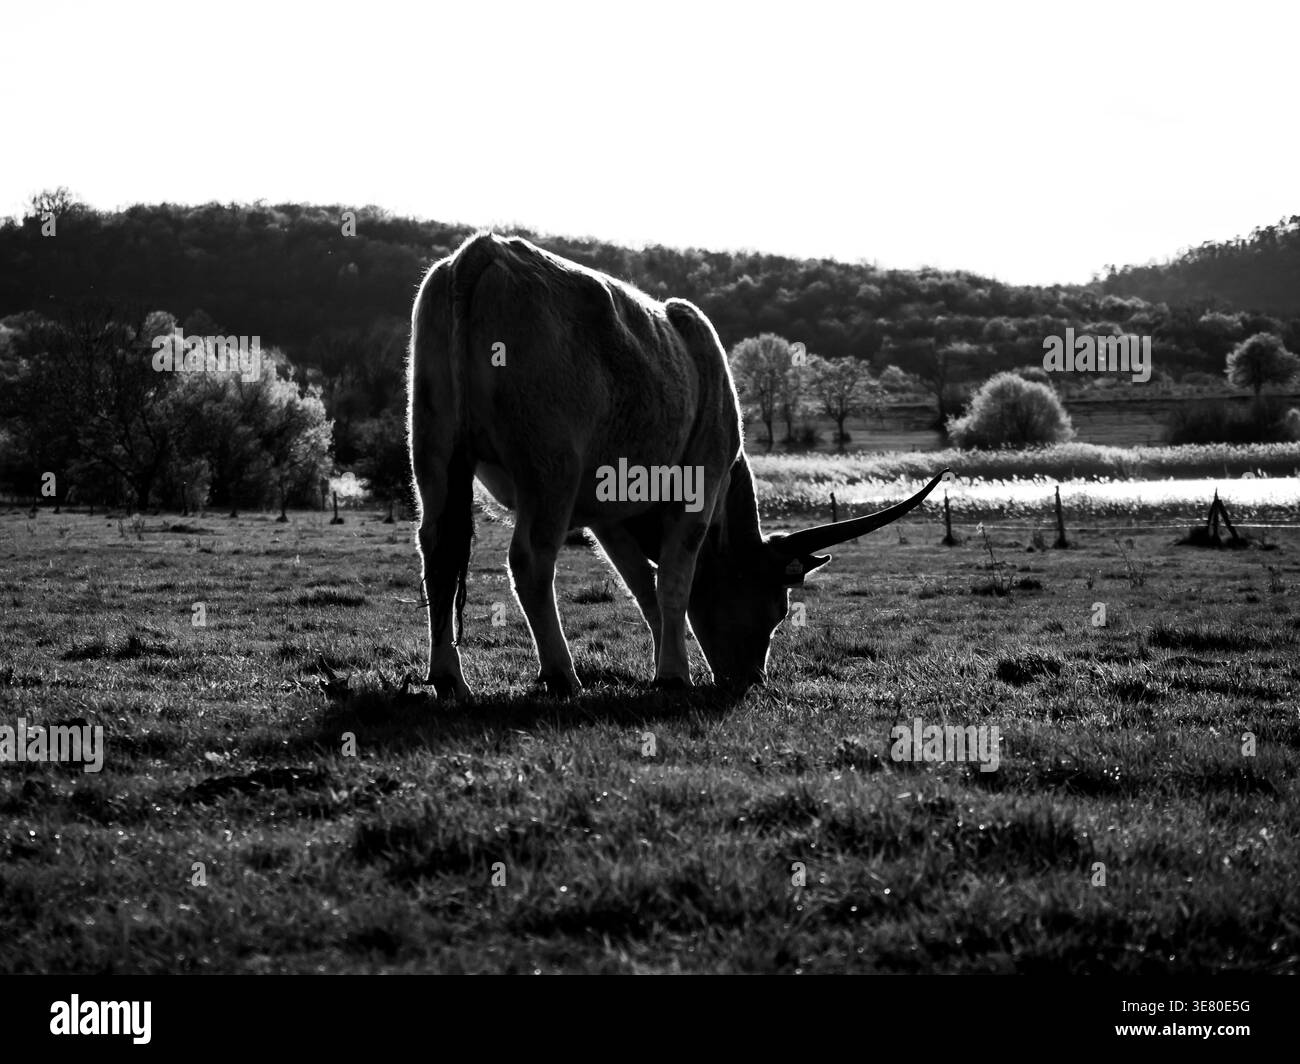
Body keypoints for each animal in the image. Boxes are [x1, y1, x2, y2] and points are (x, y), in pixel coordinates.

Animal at [408, 232, 945, 698]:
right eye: (777, 609)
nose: (751, 679)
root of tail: (485, 250)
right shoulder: (697, 489)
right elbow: (673, 583)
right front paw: (672, 675)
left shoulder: (610, 515)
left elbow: (644, 589)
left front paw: (669, 663)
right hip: (550, 468)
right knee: (530, 559)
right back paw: (561, 673)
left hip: (434, 450)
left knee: (438, 548)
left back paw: (449, 677)